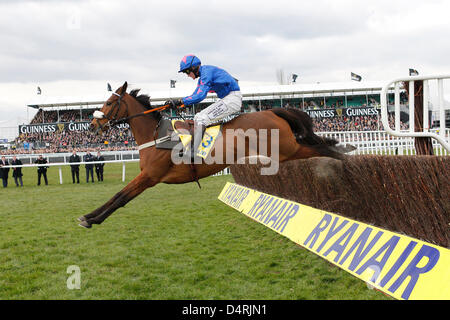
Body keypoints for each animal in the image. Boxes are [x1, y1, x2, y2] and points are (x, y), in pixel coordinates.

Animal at [77, 81, 346, 229]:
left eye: (109, 103)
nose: (92, 124)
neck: (156, 135)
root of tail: (272, 112)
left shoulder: (150, 177)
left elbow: (120, 196)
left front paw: (91, 219)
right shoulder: (148, 176)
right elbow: (118, 196)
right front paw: (88, 216)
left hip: (287, 150)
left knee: (323, 149)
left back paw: (344, 162)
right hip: (285, 153)